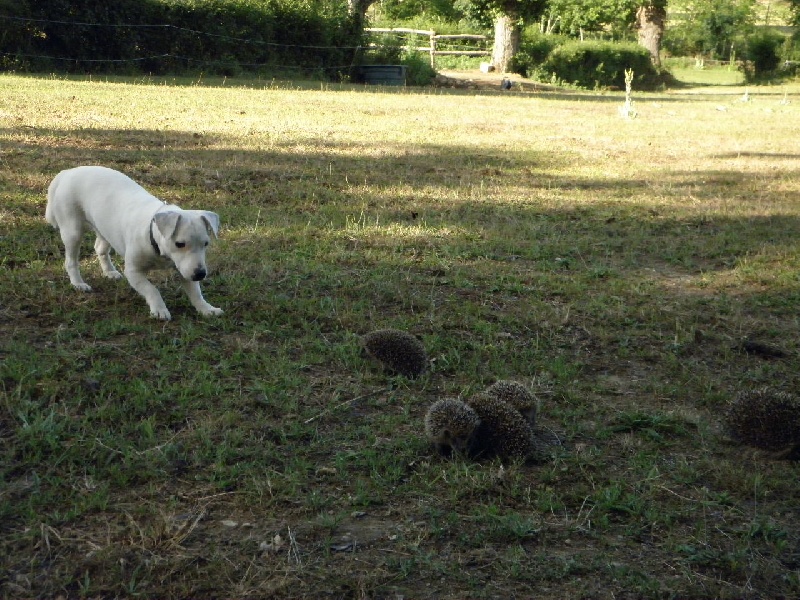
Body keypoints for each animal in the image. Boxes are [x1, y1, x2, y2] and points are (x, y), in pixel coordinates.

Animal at [45, 165, 223, 318]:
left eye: (206, 244)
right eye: (179, 244)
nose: (200, 274)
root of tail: (67, 172)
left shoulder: (186, 270)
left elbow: (196, 292)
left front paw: (206, 308)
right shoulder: (133, 272)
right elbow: (151, 289)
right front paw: (159, 309)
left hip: (105, 227)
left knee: (100, 248)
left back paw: (109, 271)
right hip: (72, 231)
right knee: (71, 261)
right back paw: (78, 283)